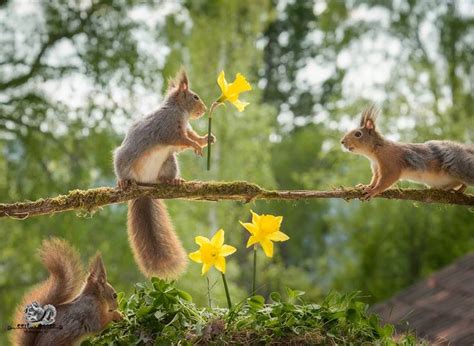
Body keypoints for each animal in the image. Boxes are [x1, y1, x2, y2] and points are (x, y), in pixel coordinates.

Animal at [113, 69, 213, 278]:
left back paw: (173, 181)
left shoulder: (184, 130)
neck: (179, 111)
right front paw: (197, 145)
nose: (204, 108)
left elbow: (188, 138)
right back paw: (123, 182)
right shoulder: (168, 129)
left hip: (169, 162)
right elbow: (181, 139)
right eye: (195, 96)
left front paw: (205, 139)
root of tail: (144, 182)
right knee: (122, 172)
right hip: (123, 159)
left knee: (165, 174)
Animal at [340, 104, 474, 199]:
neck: (375, 151)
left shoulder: (390, 162)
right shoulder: (376, 167)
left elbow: (387, 179)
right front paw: (367, 186)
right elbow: (375, 179)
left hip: (460, 167)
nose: (342, 142)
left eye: (358, 134)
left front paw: (373, 191)